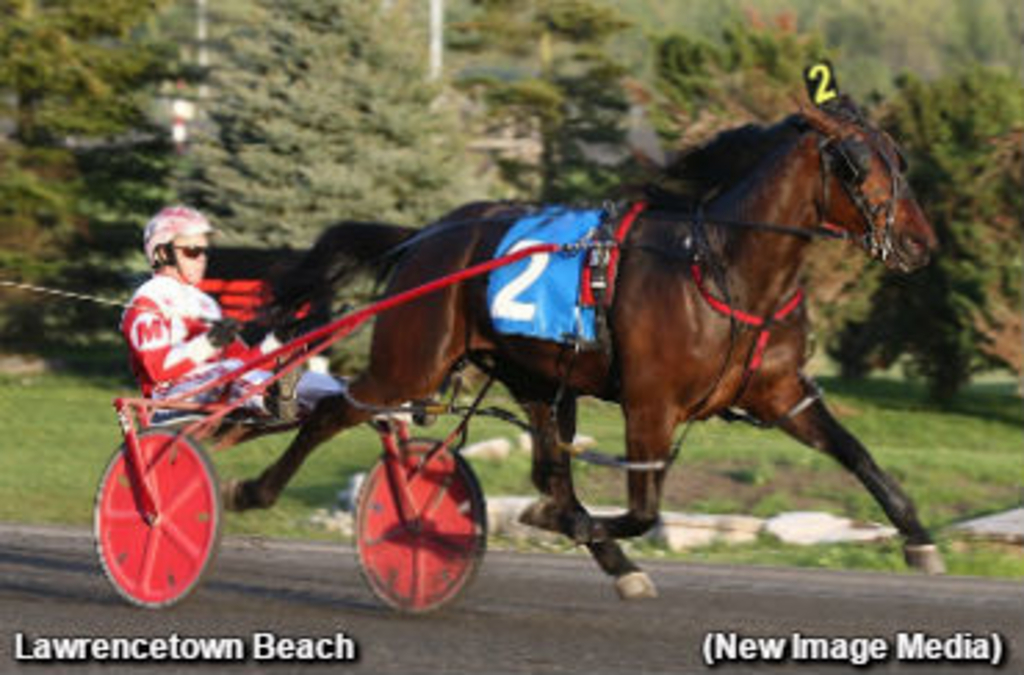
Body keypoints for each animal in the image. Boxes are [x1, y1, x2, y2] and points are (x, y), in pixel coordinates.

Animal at [226, 93, 942, 598]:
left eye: (901, 158)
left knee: (550, 467)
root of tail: (426, 236)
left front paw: (918, 538)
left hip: (541, 382)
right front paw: (562, 524)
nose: (921, 243)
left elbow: (856, 453)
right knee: (332, 412)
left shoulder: (783, 392)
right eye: (857, 163)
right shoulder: (651, 404)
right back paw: (251, 492)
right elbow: (641, 509)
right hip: (411, 361)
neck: (725, 268)